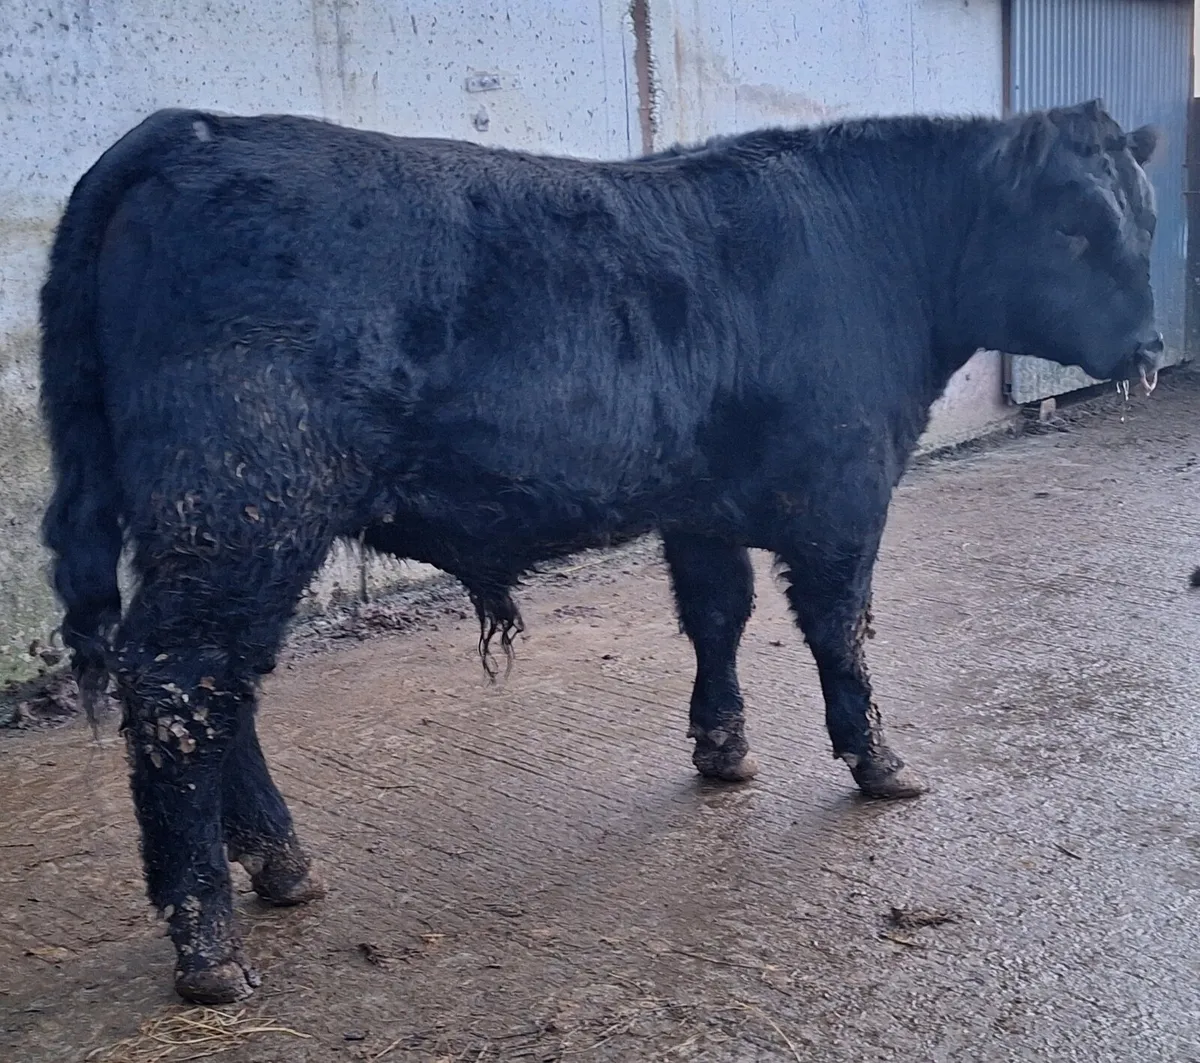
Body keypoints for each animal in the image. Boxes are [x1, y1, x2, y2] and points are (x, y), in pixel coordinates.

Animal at [40, 99, 1161, 1003]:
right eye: (1072, 226)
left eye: (1146, 220)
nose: (1152, 348)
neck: (876, 253)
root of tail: (200, 129)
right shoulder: (845, 491)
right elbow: (840, 629)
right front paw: (878, 760)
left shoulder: (704, 505)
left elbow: (718, 616)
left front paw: (723, 748)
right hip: (244, 505)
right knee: (183, 684)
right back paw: (210, 949)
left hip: (225, 526)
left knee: (221, 687)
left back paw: (279, 863)